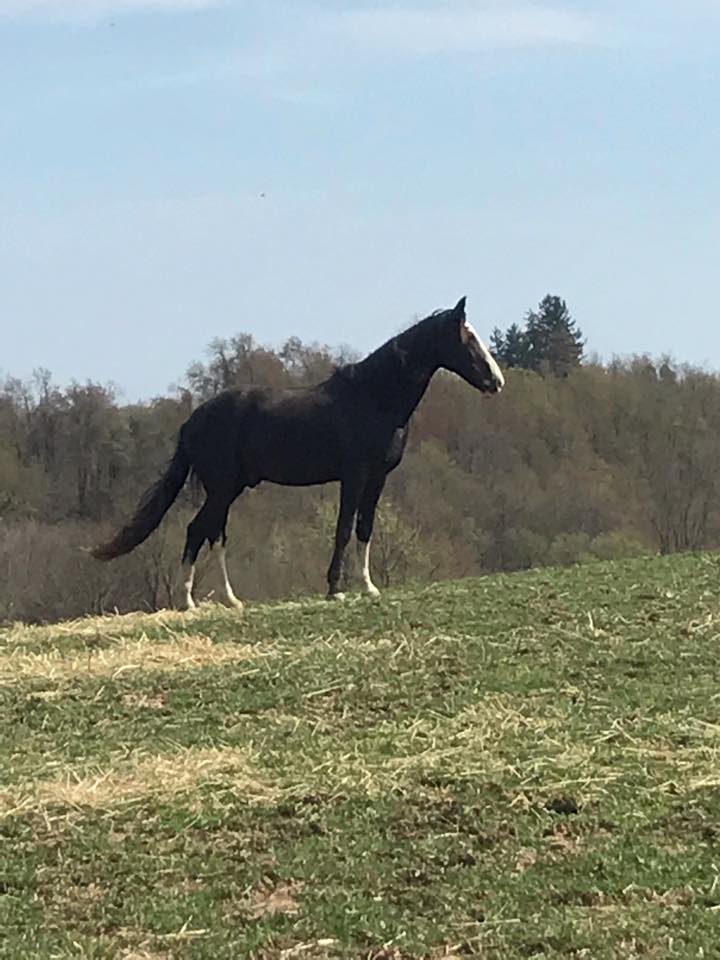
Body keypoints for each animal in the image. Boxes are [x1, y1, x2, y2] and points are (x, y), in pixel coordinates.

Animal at [92, 297, 504, 608]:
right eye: (466, 339)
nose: (496, 381)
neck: (374, 399)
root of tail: (192, 420)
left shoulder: (377, 479)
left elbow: (365, 529)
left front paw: (368, 586)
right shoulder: (353, 477)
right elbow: (342, 529)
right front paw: (335, 588)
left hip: (229, 488)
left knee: (214, 533)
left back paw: (229, 600)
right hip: (222, 488)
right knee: (200, 530)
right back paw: (191, 600)